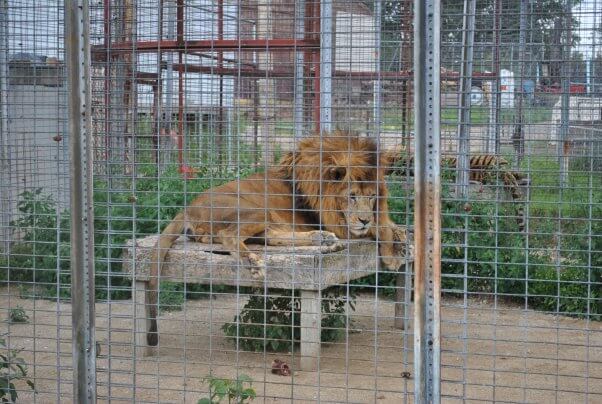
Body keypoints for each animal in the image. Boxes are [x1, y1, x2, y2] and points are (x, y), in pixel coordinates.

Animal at [146, 131, 408, 346]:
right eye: (352, 196)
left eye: (372, 197)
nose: (364, 219)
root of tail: (187, 208)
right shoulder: (335, 220)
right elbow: (380, 228)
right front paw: (392, 254)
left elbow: (386, 224)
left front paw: (401, 237)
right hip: (255, 210)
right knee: (229, 235)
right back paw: (254, 262)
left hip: (264, 219)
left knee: (268, 238)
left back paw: (322, 240)